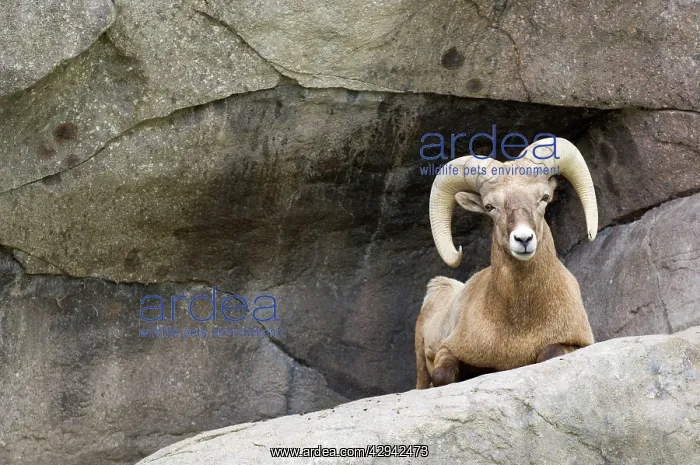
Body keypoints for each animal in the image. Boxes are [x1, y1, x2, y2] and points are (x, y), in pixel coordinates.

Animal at [415, 137, 598, 389]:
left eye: (544, 198)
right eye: (490, 207)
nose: (523, 239)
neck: (519, 327)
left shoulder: (575, 343)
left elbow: (547, 354)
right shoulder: (447, 350)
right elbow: (442, 376)